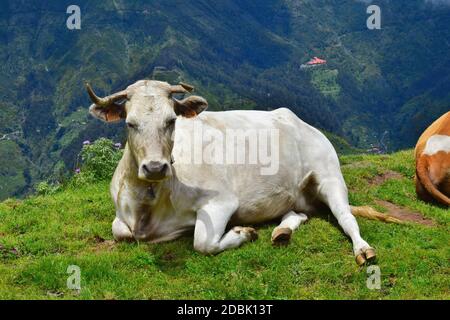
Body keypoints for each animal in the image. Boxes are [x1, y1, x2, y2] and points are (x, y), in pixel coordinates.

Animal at [87, 79, 386, 264]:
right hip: (296, 194)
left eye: (171, 121)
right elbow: (120, 232)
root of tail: (301, 122)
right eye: (130, 123)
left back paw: (363, 250)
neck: (147, 209)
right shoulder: (121, 216)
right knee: (298, 212)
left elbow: (203, 243)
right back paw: (282, 232)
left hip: (329, 175)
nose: (155, 167)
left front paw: (244, 232)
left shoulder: (221, 202)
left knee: (346, 217)